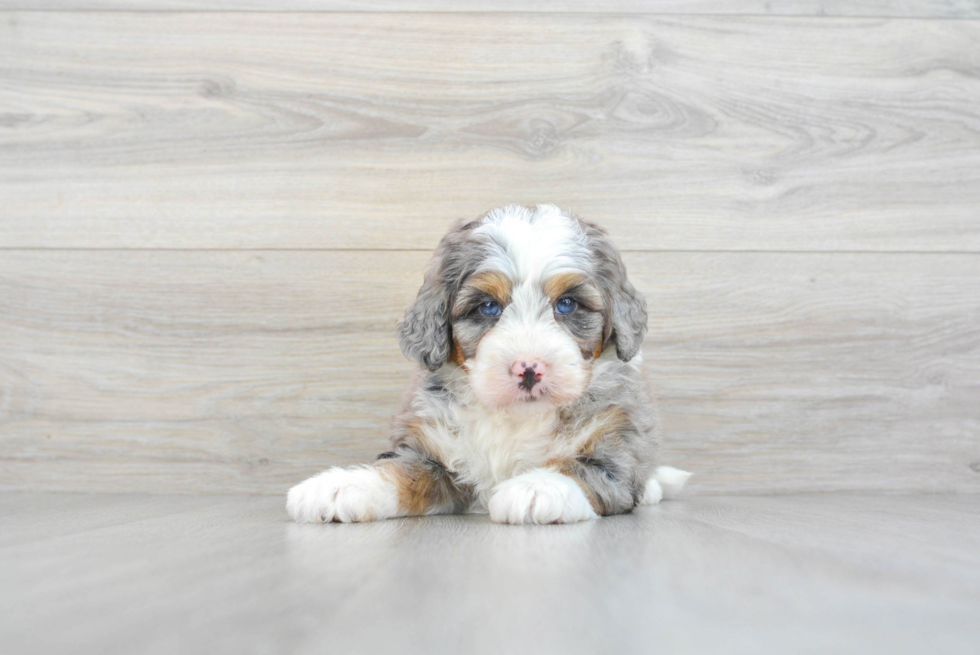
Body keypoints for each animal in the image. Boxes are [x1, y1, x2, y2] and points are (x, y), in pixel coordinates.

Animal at [290, 202, 688, 524]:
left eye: (567, 304)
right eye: (488, 307)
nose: (529, 368)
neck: (514, 419)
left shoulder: (615, 449)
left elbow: (579, 468)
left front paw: (536, 488)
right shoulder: (431, 456)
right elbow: (398, 471)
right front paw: (340, 486)